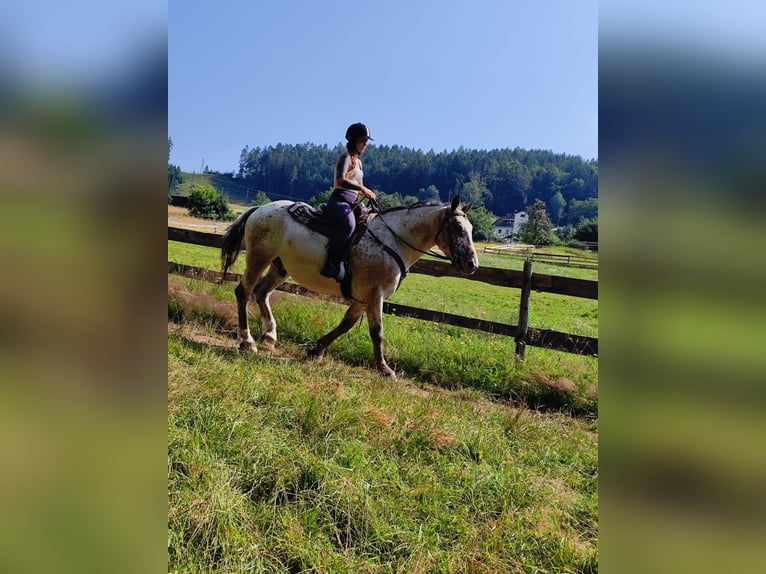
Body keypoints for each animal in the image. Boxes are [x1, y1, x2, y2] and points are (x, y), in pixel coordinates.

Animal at [220, 196, 479, 378]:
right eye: (457, 227)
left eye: (471, 229)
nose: (472, 264)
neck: (393, 240)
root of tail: (260, 209)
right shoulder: (375, 295)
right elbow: (377, 333)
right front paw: (384, 369)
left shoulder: (363, 297)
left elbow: (346, 325)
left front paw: (316, 350)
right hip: (258, 257)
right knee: (244, 292)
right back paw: (247, 341)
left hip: (279, 267)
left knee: (261, 293)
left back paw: (269, 336)